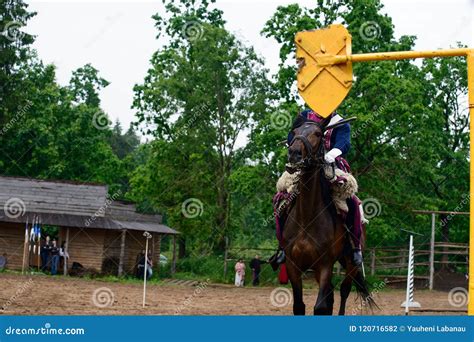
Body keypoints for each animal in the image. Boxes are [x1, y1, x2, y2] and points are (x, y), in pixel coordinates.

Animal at [282, 118, 374, 316]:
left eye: (318, 134)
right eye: (295, 132)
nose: (294, 153)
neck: (307, 218)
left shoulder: (325, 264)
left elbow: (320, 307)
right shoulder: (293, 266)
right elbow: (299, 306)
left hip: (350, 264)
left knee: (344, 291)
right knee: (331, 295)